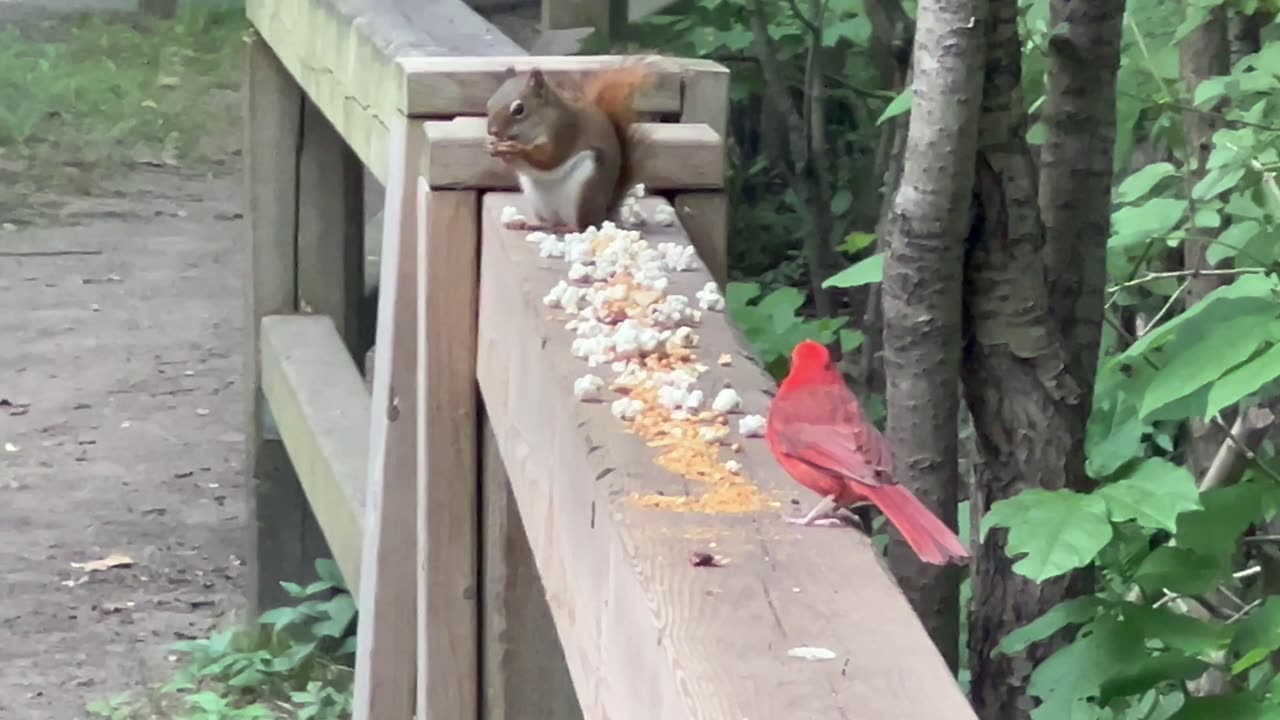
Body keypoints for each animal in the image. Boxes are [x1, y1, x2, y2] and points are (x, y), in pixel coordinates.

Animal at [483, 60, 655, 233]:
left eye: (519, 109)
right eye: (489, 102)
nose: (492, 131)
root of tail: (602, 215)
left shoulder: (565, 131)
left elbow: (549, 159)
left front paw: (515, 149)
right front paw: (492, 146)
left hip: (586, 190)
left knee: (581, 226)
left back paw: (567, 228)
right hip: (538, 202)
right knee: (549, 223)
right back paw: (526, 224)